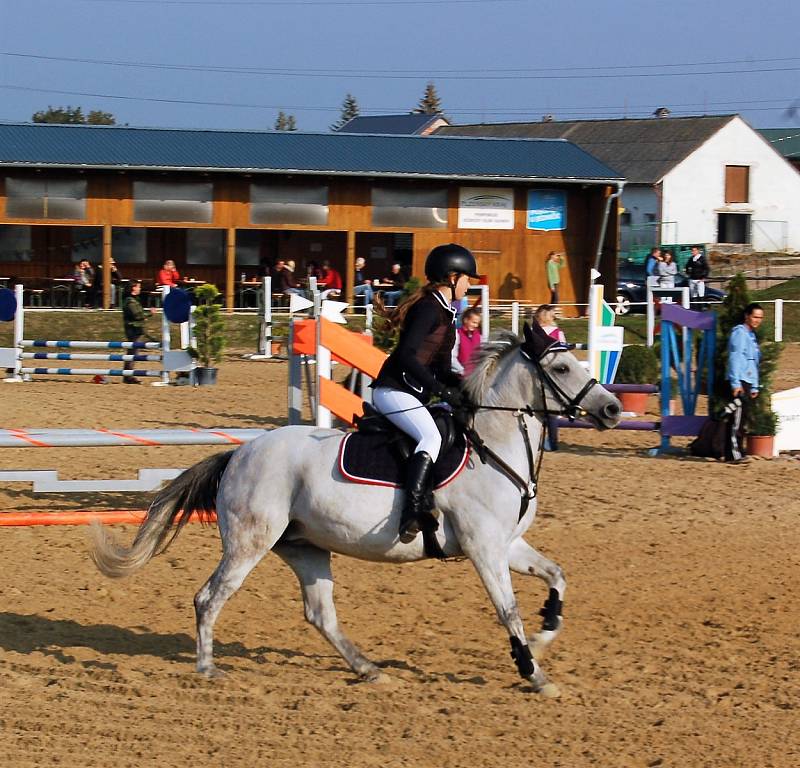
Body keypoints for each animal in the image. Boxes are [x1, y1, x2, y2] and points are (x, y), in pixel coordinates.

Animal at [92, 322, 620, 696]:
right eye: (562, 369)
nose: (613, 410)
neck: (494, 446)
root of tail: (239, 453)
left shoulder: (507, 544)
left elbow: (556, 575)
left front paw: (546, 632)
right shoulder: (484, 548)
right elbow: (507, 610)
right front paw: (533, 672)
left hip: (304, 547)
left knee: (320, 614)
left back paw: (369, 670)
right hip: (250, 543)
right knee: (210, 597)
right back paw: (207, 669)